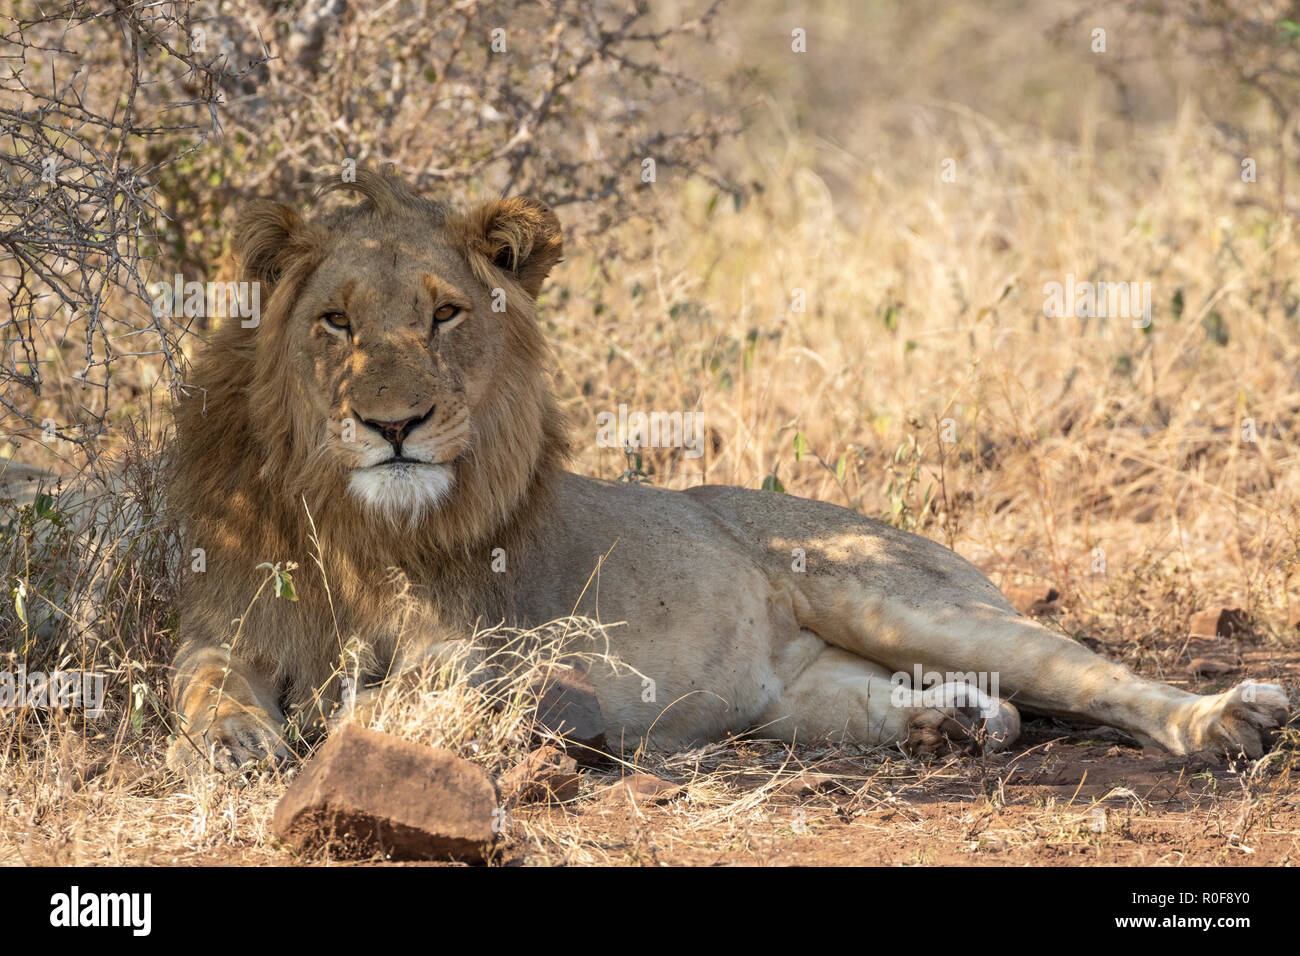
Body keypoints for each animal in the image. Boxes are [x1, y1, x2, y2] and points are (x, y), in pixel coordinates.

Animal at [165, 167, 1289, 775]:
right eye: (335, 323)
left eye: (444, 314)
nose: (392, 423)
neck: (360, 528)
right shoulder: (227, 622)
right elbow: (204, 683)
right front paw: (237, 741)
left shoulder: (495, 649)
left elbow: (404, 694)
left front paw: (337, 722)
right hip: (801, 697)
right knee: (993, 706)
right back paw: (952, 724)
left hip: (900, 598)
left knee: (1096, 677)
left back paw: (1227, 719)